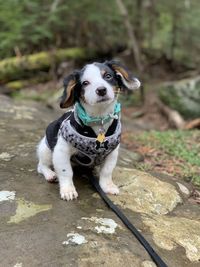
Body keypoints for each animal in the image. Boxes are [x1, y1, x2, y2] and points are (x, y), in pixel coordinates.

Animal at [37, 60, 141, 201]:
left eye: (108, 76)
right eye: (85, 83)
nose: (101, 90)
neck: (99, 119)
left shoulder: (112, 153)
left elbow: (107, 171)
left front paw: (107, 186)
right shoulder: (61, 151)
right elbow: (65, 172)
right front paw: (68, 190)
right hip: (46, 149)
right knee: (41, 165)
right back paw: (50, 174)